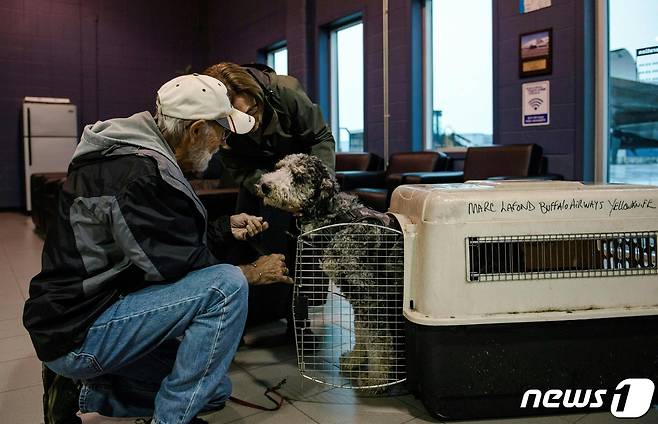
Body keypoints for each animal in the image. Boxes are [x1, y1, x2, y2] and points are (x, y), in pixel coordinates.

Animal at [255, 154, 400, 390]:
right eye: (279, 167)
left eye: (298, 176)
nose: (265, 185)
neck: (339, 222)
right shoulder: (355, 295)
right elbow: (361, 330)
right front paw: (356, 359)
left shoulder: (368, 294)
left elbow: (379, 340)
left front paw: (376, 379)